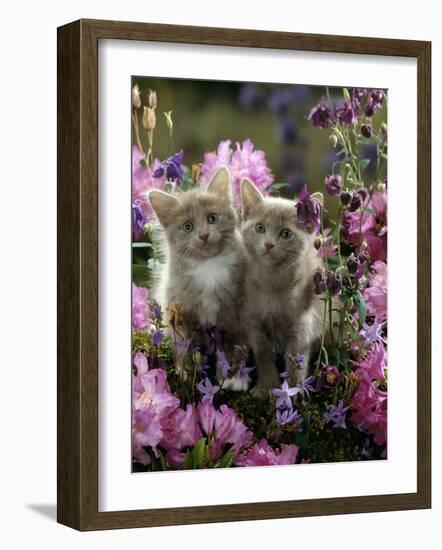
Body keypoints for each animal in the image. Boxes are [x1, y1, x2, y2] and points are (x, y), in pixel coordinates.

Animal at [148, 166, 245, 366]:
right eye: (187, 227)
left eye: (212, 218)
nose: (204, 235)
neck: (208, 266)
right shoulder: (180, 311)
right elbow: (183, 346)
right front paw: (184, 369)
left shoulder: (233, 309)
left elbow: (233, 341)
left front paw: (234, 369)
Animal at [240, 179, 322, 390]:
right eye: (260, 228)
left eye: (285, 234)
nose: (269, 245)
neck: (272, 283)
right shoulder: (252, 320)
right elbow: (263, 354)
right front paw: (267, 387)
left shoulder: (302, 325)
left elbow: (296, 358)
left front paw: (292, 390)